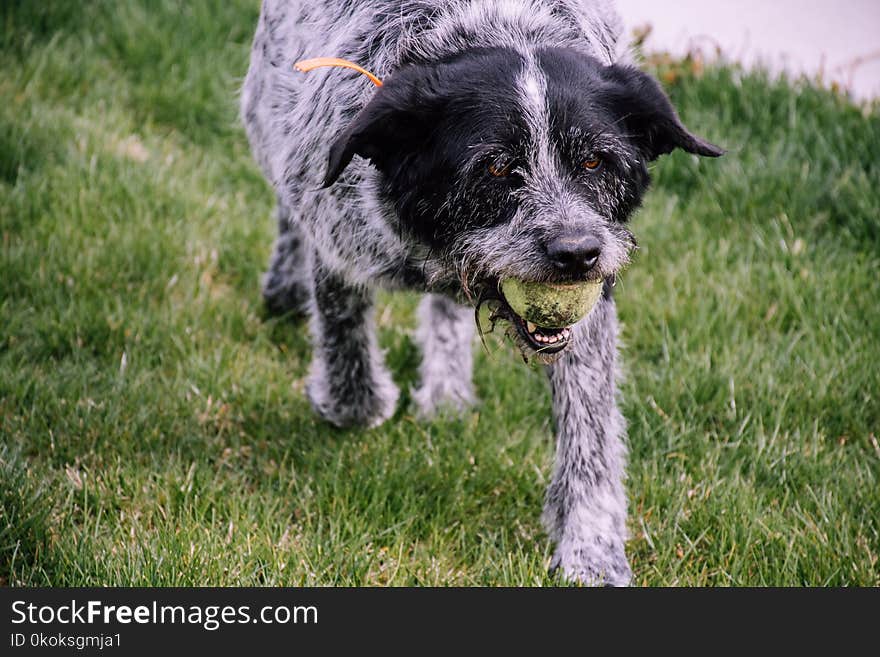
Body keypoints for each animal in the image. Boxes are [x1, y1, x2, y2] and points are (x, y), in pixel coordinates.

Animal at [241, 0, 720, 584]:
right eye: (495, 167)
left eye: (593, 161)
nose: (576, 253)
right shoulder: (337, 239)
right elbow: (346, 351)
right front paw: (351, 401)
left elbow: (591, 429)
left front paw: (592, 549)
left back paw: (447, 385)